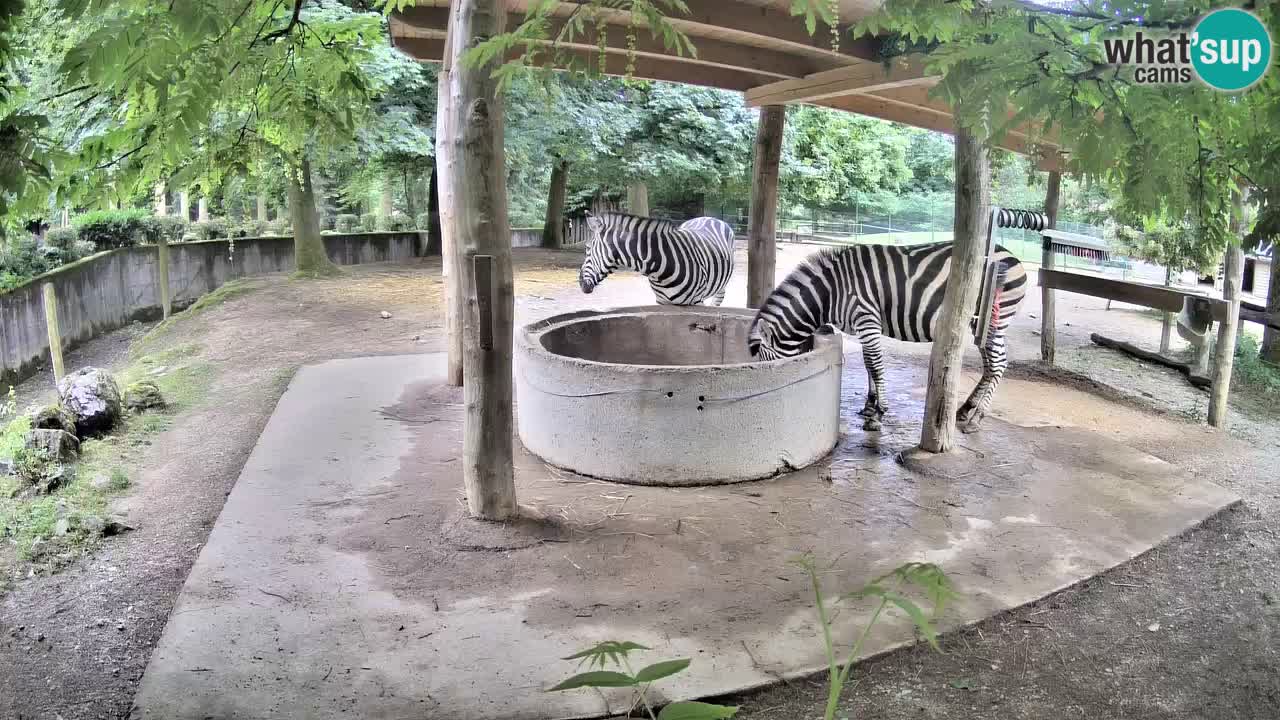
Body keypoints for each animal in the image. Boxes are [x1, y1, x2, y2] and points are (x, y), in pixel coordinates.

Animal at [579, 212, 736, 306]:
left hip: (720, 287)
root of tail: (709, 217)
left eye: (587, 249)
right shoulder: (661, 302)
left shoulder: (696, 302)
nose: (580, 283)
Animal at [748, 242, 1028, 433]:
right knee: (990, 366)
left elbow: (875, 364)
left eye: (765, 363)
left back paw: (976, 418)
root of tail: (1014, 257)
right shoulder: (862, 325)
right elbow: (867, 363)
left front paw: (878, 414)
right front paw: (870, 406)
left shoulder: (866, 317)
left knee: (998, 363)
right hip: (979, 325)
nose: (766, 398)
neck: (831, 293)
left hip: (994, 321)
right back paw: (965, 410)